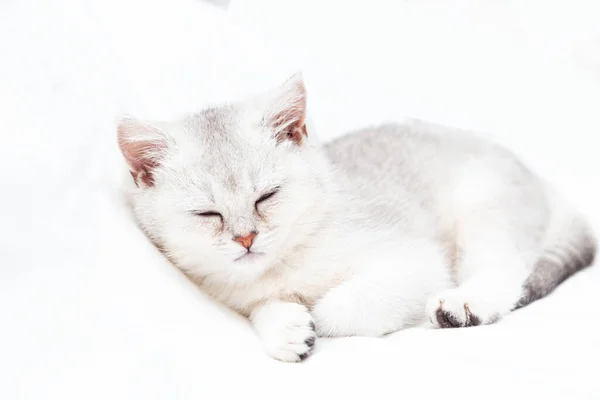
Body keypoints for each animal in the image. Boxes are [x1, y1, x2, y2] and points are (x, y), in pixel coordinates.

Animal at [116, 72, 596, 362]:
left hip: (483, 209)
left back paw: (465, 304)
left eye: (266, 197)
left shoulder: (415, 263)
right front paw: (285, 326)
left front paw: (313, 316)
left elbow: (337, 306)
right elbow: (264, 306)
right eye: (208, 213)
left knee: (507, 269)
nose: (246, 238)